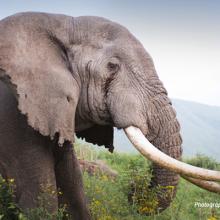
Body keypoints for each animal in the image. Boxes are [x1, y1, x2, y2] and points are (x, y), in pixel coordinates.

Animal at [0, 11, 220, 218]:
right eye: (112, 66)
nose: (133, 187)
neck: (62, 23)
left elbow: (73, 185)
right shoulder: (13, 111)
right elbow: (40, 199)